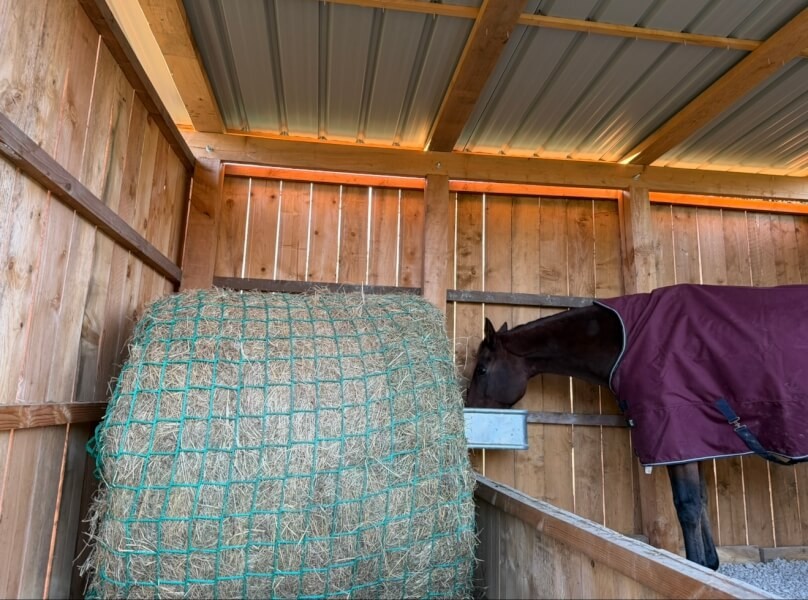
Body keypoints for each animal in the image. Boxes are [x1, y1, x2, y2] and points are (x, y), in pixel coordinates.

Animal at [466, 283, 808, 570]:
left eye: (481, 369)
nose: (466, 409)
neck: (624, 340)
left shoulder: (676, 436)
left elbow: (687, 505)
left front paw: (697, 567)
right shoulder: (695, 440)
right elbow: (702, 500)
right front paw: (710, 565)